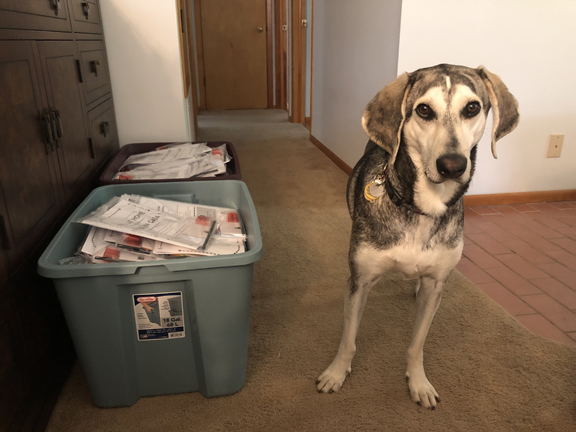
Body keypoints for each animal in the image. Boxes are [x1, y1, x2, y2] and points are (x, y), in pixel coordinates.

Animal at [318, 63, 520, 408]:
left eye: (472, 107)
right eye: (424, 110)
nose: (453, 165)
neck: (422, 207)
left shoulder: (435, 284)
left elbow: (417, 344)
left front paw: (419, 383)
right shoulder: (360, 281)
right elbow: (348, 339)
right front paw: (335, 374)